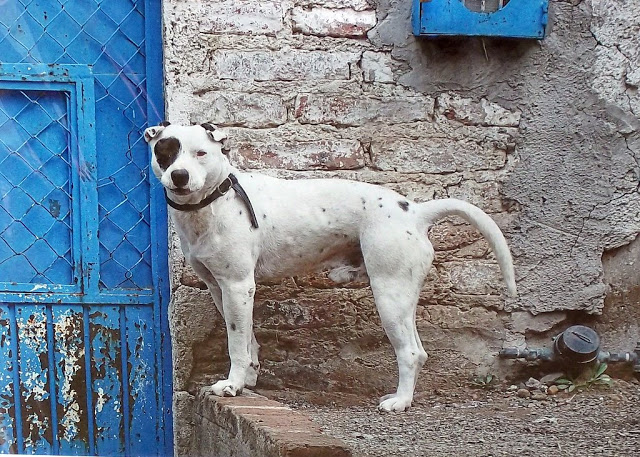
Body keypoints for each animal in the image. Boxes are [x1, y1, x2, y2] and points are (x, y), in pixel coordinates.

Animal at [144, 122, 517, 412]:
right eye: (166, 151)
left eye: (201, 153)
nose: (179, 175)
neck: (215, 200)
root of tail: (415, 211)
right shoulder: (221, 289)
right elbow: (248, 339)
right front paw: (249, 377)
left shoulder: (237, 286)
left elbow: (236, 343)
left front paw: (232, 384)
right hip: (402, 295)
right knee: (420, 351)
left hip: (388, 295)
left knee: (409, 352)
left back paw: (399, 402)